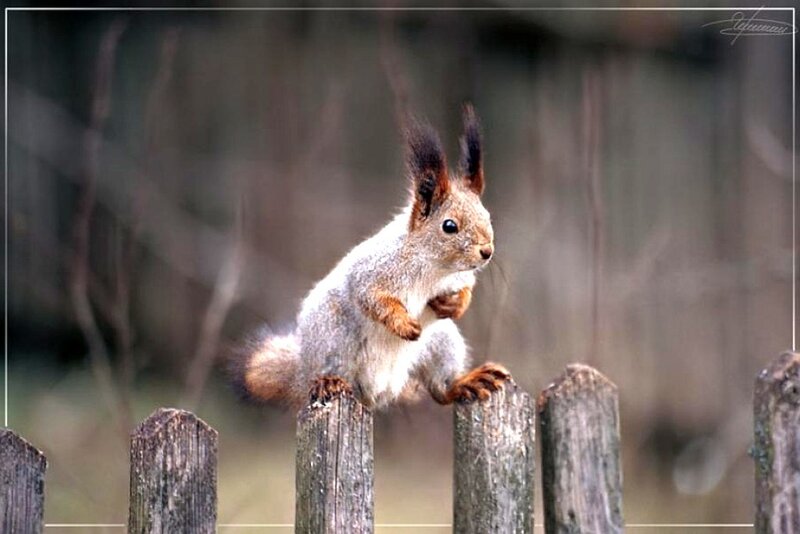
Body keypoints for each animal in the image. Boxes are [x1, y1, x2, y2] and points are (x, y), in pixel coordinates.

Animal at [229, 105, 512, 410]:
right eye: (449, 226)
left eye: (488, 217)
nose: (486, 251)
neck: (435, 267)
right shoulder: (374, 271)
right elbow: (372, 298)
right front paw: (404, 324)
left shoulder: (458, 278)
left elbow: (466, 290)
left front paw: (454, 304)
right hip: (334, 337)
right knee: (331, 376)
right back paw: (330, 382)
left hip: (442, 341)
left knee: (441, 389)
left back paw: (467, 382)